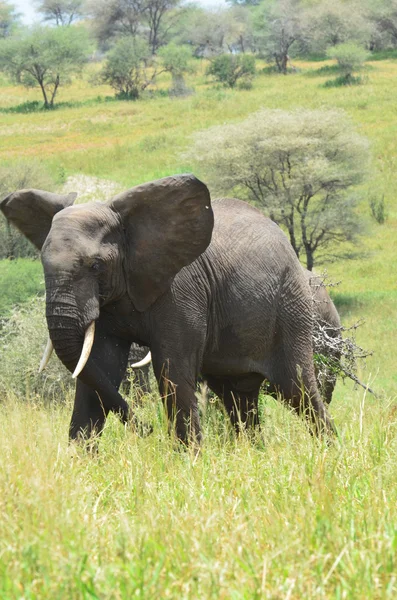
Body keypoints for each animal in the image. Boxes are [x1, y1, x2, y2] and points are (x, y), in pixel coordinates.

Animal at [0, 176, 334, 442]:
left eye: (96, 266)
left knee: (298, 390)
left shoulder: (181, 289)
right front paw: (82, 465)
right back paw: (252, 452)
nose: (147, 430)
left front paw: (190, 461)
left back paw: (326, 452)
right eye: (43, 265)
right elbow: (96, 367)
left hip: (291, 306)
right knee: (239, 399)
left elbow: (171, 368)